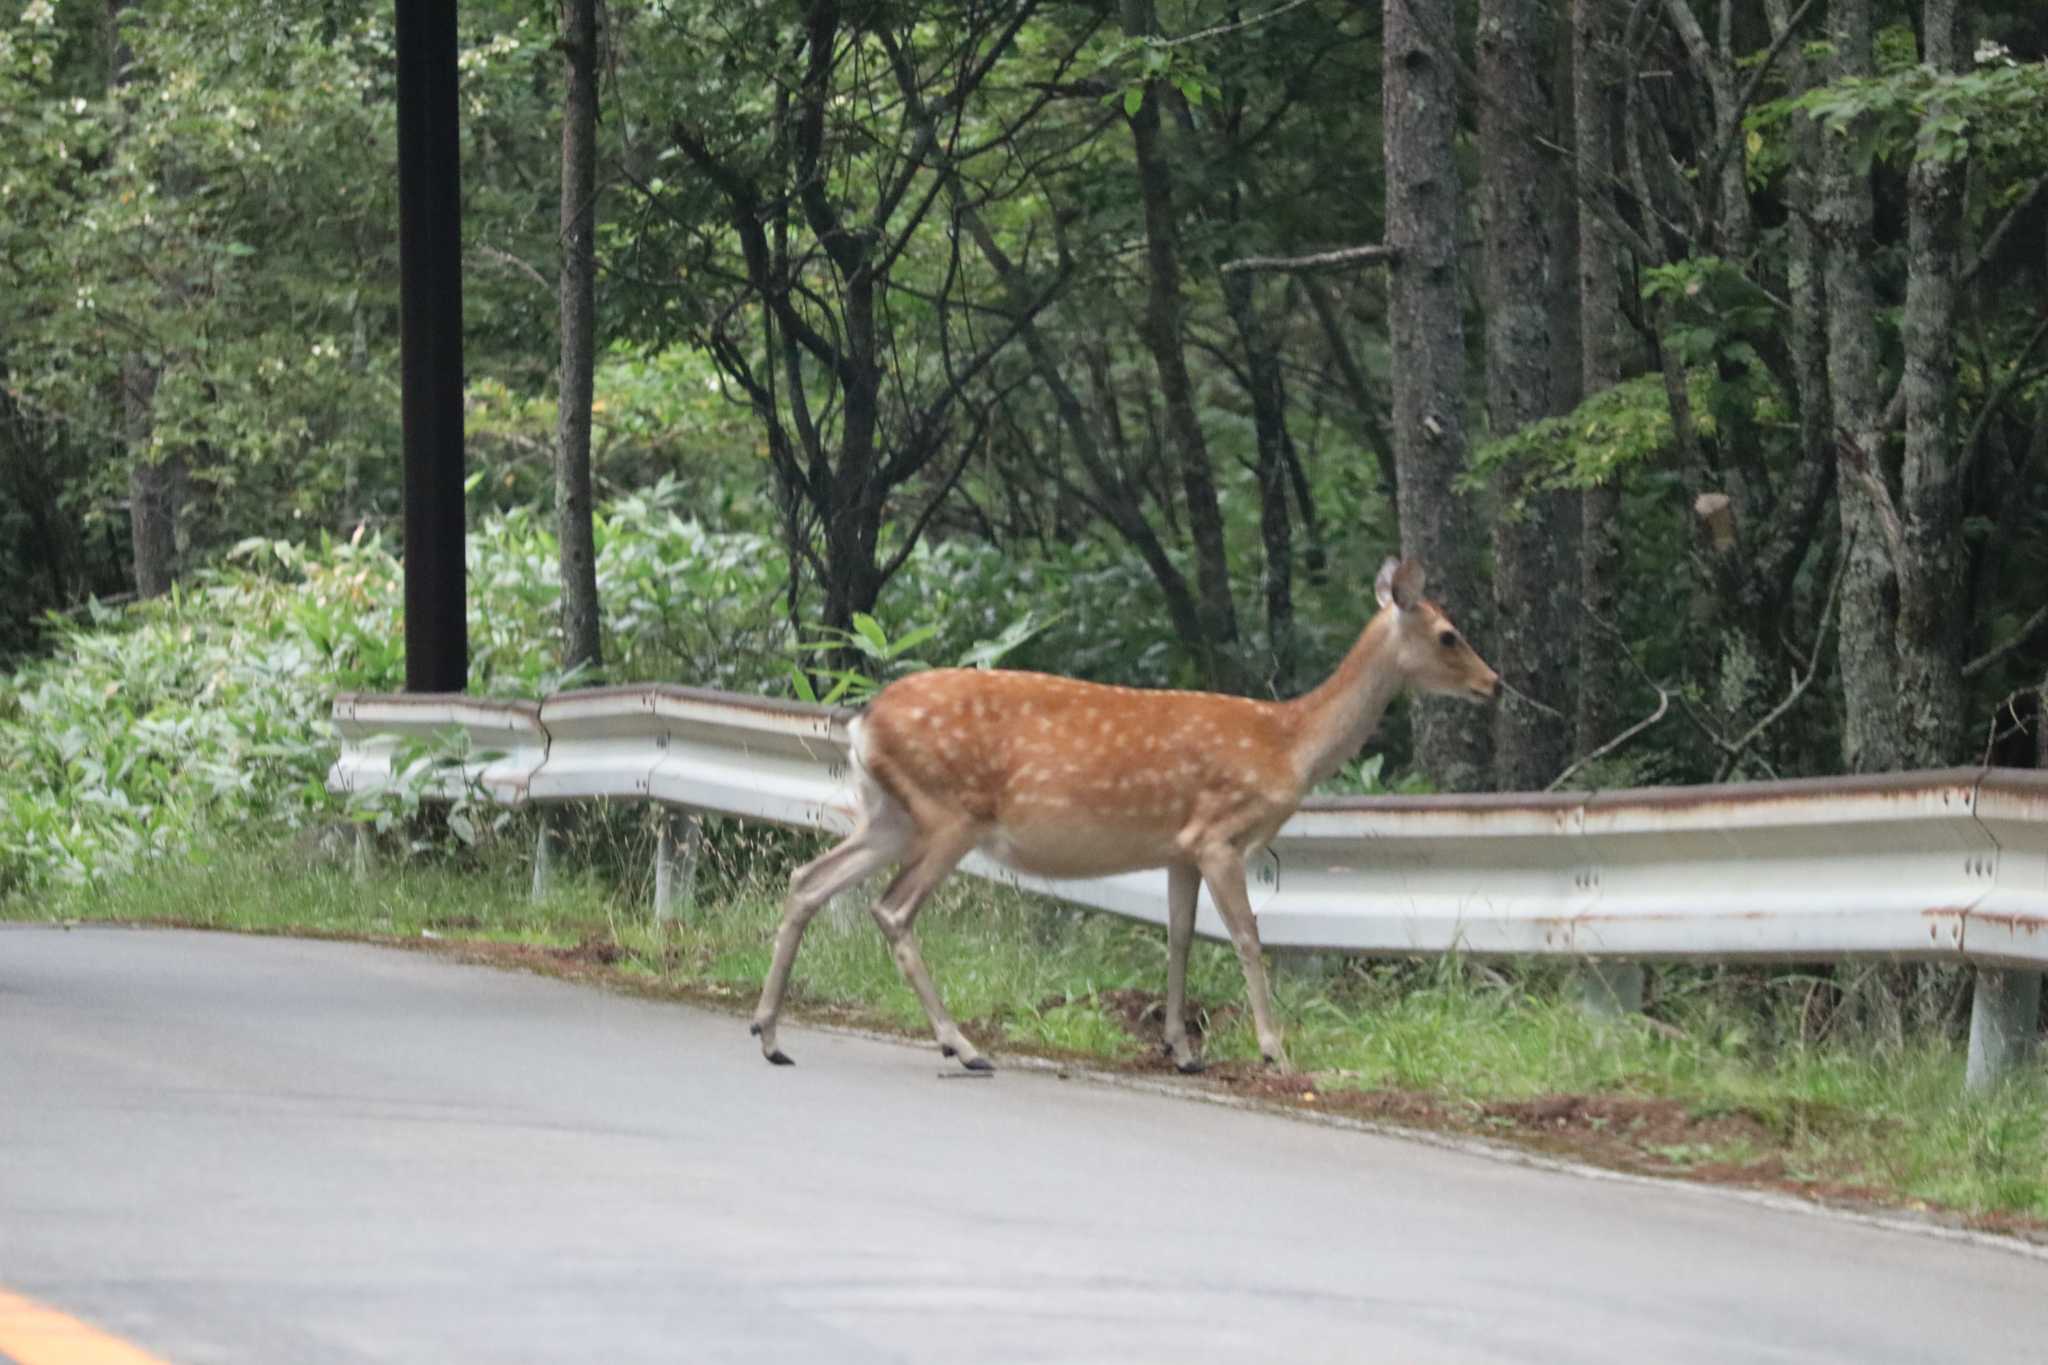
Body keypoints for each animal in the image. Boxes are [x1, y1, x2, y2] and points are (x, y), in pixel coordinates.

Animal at [745, 556, 1499, 1080]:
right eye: (1449, 634)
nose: (1493, 683)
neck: (1287, 744)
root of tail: (863, 720)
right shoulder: (1221, 834)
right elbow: (1247, 937)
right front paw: (1273, 1050)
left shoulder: (1179, 847)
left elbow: (1179, 937)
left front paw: (1182, 1049)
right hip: (948, 813)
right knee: (892, 908)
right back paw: (963, 1046)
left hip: (889, 814)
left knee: (808, 878)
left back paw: (771, 1034)